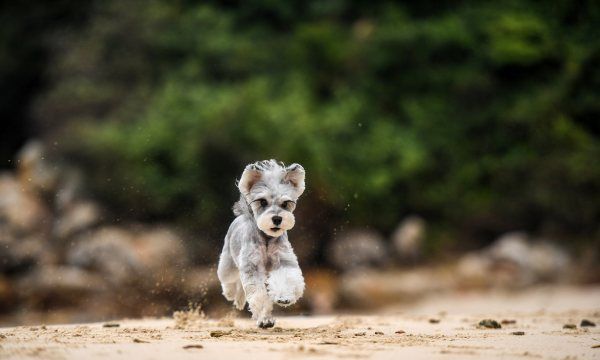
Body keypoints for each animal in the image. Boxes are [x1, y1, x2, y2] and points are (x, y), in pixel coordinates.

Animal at [217, 159, 304, 328]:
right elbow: (258, 293)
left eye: (285, 204)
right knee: (231, 281)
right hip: (228, 264)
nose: (277, 218)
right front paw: (264, 318)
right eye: (263, 201)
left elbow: (286, 277)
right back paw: (231, 294)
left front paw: (283, 297)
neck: (267, 239)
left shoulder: (283, 261)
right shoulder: (252, 266)